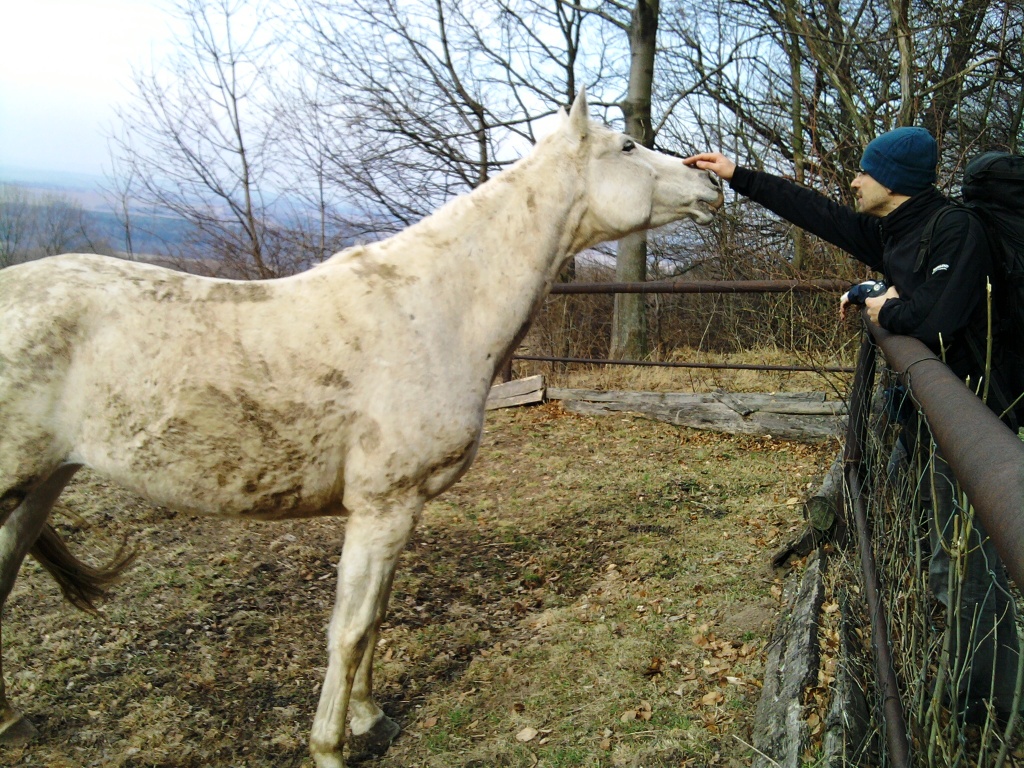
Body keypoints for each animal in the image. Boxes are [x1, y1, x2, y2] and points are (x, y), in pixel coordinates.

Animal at [0, 91, 720, 768]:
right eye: (626, 145)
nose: (711, 183)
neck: (431, 310)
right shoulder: (380, 507)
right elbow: (348, 632)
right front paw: (330, 747)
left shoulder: (402, 509)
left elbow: (375, 619)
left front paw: (371, 717)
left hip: (34, 493)